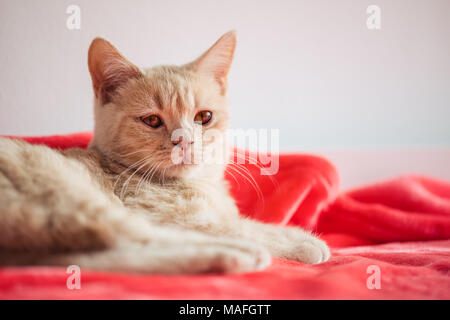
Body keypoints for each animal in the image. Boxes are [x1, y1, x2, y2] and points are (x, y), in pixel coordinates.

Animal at [0, 31, 330, 274]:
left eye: (204, 117)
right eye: (152, 120)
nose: (184, 140)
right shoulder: (164, 213)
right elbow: (238, 226)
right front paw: (299, 241)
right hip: (66, 196)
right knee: (140, 236)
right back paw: (241, 252)